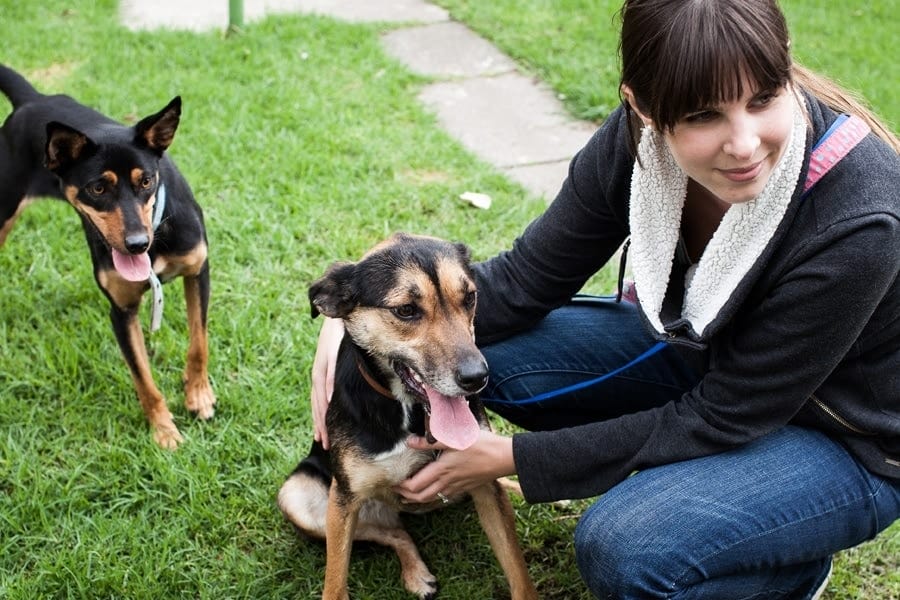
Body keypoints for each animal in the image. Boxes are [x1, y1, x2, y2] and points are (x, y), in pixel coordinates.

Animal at [0, 67, 214, 450]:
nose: (136, 244)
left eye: (146, 181)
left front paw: (199, 395)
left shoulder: (197, 272)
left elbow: (198, 343)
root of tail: (34, 99)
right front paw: (164, 430)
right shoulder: (122, 311)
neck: (157, 232)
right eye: (98, 188)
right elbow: (144, 380)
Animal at [278, 233, 536, 600]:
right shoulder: (343, 502)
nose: (477, 378)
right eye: (406, 310)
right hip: (299, 498)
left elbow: (519, 574)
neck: (410, 411)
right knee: (397, 533)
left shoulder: (484, 482)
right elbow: (335, 581)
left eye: (470, 297)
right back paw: (417, 575)